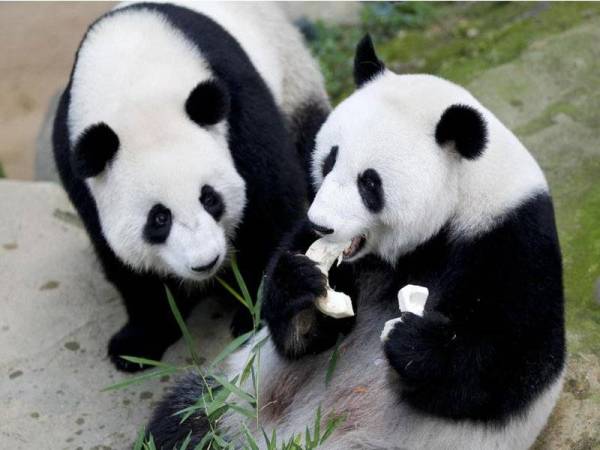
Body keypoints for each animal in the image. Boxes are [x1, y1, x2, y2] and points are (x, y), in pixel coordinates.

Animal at [53, 1, 330, 370]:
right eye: (159, 218)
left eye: (210, 198)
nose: (206, 262)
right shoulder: (76, 165)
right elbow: (120, 261)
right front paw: (137, 343)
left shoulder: (238, 106)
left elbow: (269, 209)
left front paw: (256, 307)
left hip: (293, 76)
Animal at [145, 36, 564, 450]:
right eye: (328, 160)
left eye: (370, 183)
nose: (320, 225)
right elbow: (308, 333)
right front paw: (302, 284)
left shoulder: (511, 242)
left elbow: (508, 366)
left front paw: (413, 342)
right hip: (234, 398)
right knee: (184, 420)